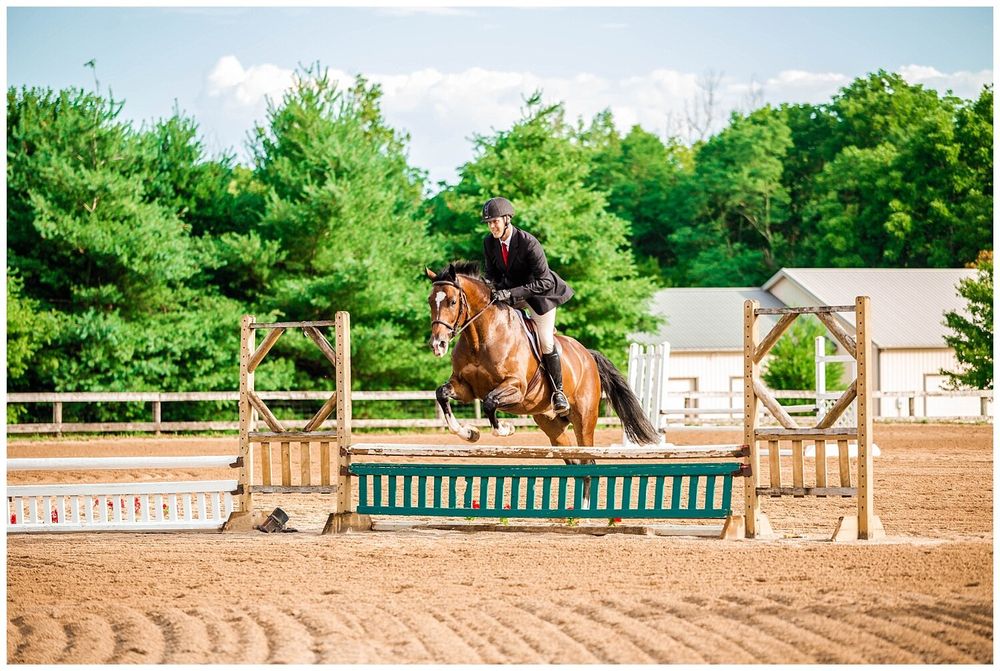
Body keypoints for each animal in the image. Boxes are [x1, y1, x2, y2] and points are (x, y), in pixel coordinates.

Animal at [425, 262, 659, 467]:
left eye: (452, 302)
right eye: (430, 301)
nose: (438, 344)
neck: (481, 338)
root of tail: (587, 356)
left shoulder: (516, 387)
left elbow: (490, 403)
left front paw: (507, 429)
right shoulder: (466, 388)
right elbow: (442, 394)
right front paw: (470, 433)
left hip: (584, 417)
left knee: (588, 459)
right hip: (550, 422)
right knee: (573, 459)